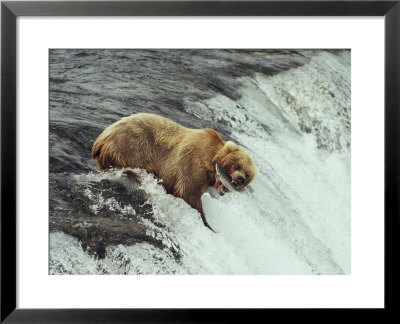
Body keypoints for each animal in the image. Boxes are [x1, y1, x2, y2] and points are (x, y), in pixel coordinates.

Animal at [91, 113, 256, 230]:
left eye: (248, 174)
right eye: (238, 166)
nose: (240, 179)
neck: (211, 163)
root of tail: (101, 139)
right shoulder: (192, 165)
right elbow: (188, 194)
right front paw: (206, 223)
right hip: (132, 147)